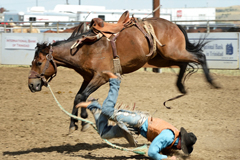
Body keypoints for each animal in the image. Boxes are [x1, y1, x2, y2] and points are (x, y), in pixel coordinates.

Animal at [27, 11, 218, 133]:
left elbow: (82, 96)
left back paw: (212, 82)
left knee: (200, 56)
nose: (31, 85)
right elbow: (79, 96)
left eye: (38, 62)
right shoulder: (88, 77)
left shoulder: (102, 77)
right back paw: (181, 87)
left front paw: (81, 121)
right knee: (185, 63)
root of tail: (174, 24)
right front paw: (76, 123)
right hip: (163, 57)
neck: (84, 49)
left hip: (173, 52)